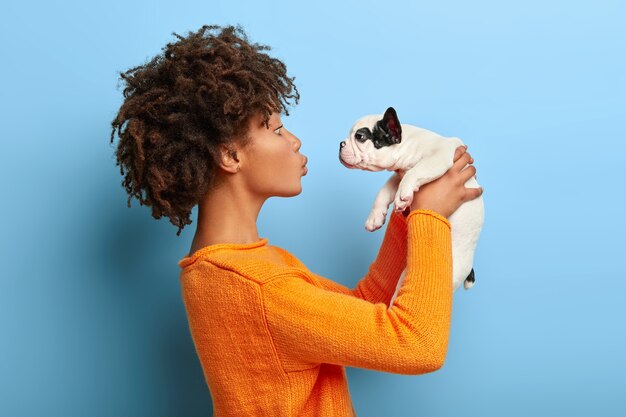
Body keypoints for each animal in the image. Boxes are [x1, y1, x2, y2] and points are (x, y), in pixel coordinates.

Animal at [338, 105, 486, 298]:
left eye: (360, 137)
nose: (341, 144)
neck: (408, 144)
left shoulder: (438, 158)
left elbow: (415, 172)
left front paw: (402, 196)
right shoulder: (397, 176)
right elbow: (384, 191)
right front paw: (375, 217)